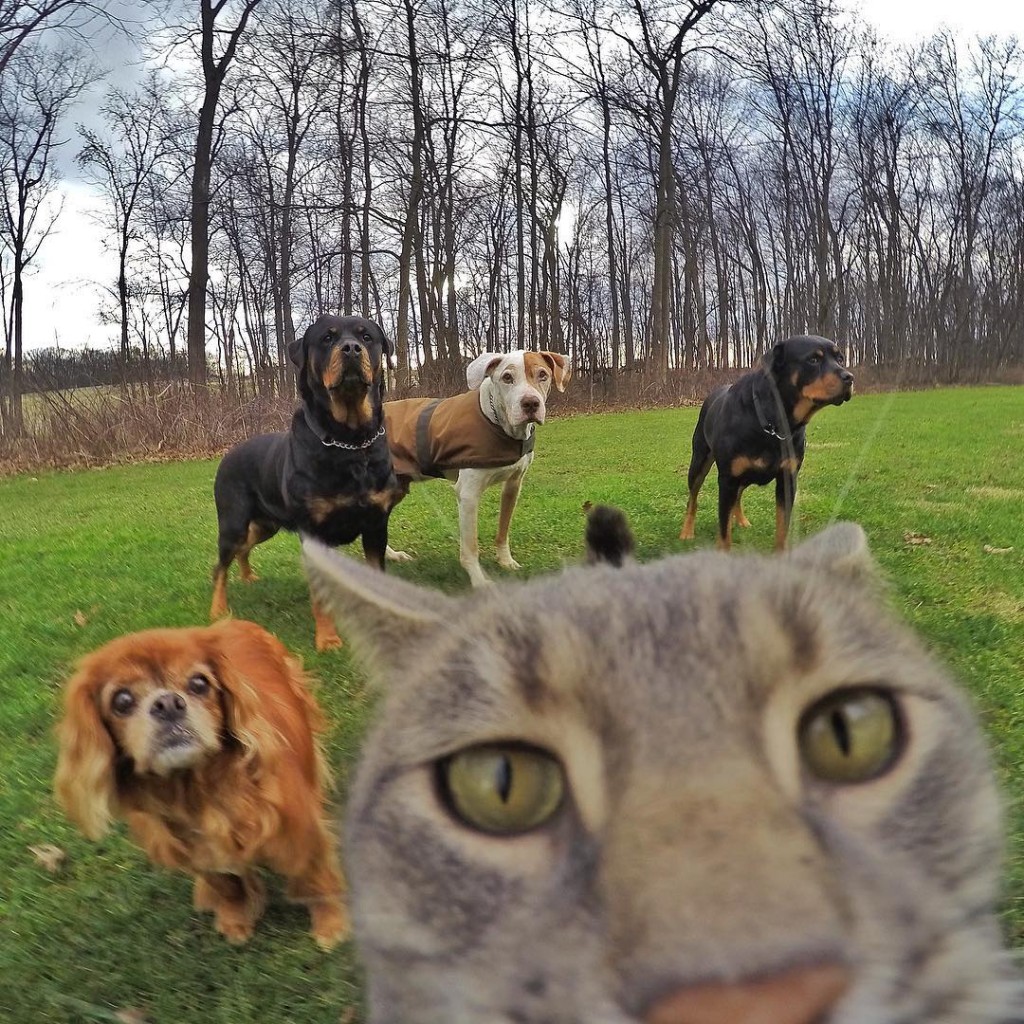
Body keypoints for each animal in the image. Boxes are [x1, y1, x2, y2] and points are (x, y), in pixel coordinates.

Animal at [55, 618, 348, 946]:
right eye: (122, 700)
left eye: (199, 683)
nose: (168, 702)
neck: (198, 790)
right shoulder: (198, 853)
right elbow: (227, 886)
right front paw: (235, 917)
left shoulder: (303, 832)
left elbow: (317, 879)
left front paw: (330, 926)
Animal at [385, 348, 573, 585]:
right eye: (507, 377)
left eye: (543, 375)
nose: (530, 403)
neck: (498, 423)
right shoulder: (468, 494)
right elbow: (470, 546)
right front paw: (479, 580)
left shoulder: (514, 484)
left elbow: (503, 529)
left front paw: (506, 561)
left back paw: (392, 556)